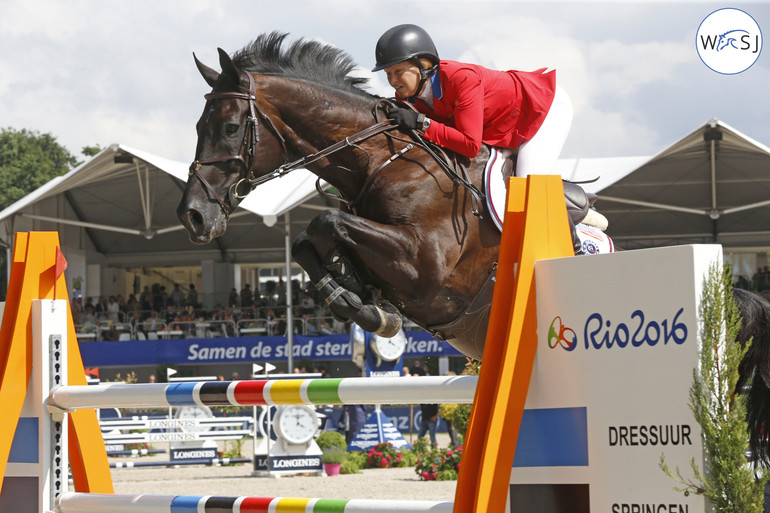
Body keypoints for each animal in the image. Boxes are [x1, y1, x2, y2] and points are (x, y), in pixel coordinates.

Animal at [176, 31, 770, 464]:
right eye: (199, 124)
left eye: (230, 127)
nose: (193, 216)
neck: (384, 161)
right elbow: (308, 238)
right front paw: (356, 298)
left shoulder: (426, 271)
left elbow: (325, 221)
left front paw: (365, 307)